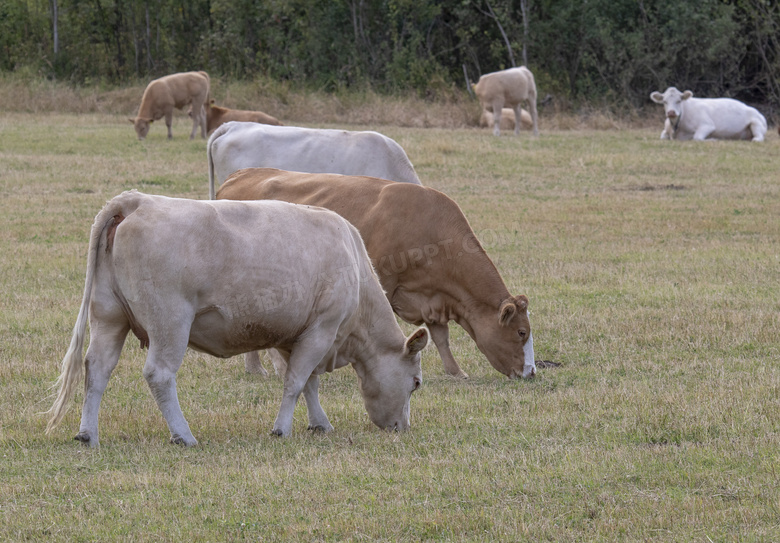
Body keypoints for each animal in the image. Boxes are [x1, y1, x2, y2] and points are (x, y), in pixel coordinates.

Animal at [44, 190, 426, 446]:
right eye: (416, 383)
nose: (401, 428)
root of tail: (137, 200)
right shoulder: (322, 329)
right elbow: (295, 382)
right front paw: (281, 429)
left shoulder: (294, 335)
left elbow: (308, 383)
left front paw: (319, 423)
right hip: (170, 322)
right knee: (159, 375)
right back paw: (183, 435)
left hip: (109, 316)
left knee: (97, 369)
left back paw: (87, 434)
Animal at [218, 168, 536, 380]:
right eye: (521, 332)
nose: (531, 372)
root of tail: (241, 174)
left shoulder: (434, 298)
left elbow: (441, 338)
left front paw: (455, 372)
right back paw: (261, 367)